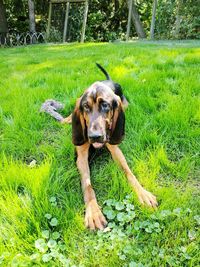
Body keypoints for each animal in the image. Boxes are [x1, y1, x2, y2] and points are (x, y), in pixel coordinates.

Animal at [63, 64, 157, 230]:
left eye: (105, 106)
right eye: (86, 107)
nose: (94, 136)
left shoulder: (115, 149)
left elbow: (128, 172)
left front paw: (142, 193)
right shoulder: (81, 156)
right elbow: (87, 184)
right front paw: (93, 212)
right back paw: (67, 118)